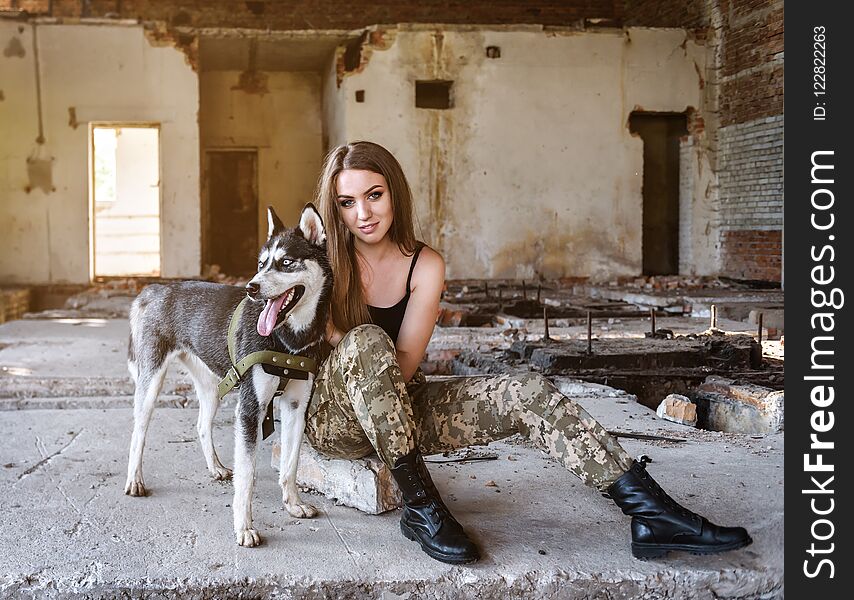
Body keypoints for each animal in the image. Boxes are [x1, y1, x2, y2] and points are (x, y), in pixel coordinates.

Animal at [123, 204, 332, 548]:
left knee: (200, 424)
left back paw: (216, 468)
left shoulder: (296, 408)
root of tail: (156, 288)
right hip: (151, 381)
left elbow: (290, 465)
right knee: (138, 431)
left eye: (286, 262)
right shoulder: (249, 410)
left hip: (211, 386)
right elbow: (248, 476)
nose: (252, 287)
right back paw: (134, 480)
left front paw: (293, 504)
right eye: (261, 264)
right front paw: (244, 528)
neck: (288, 339)